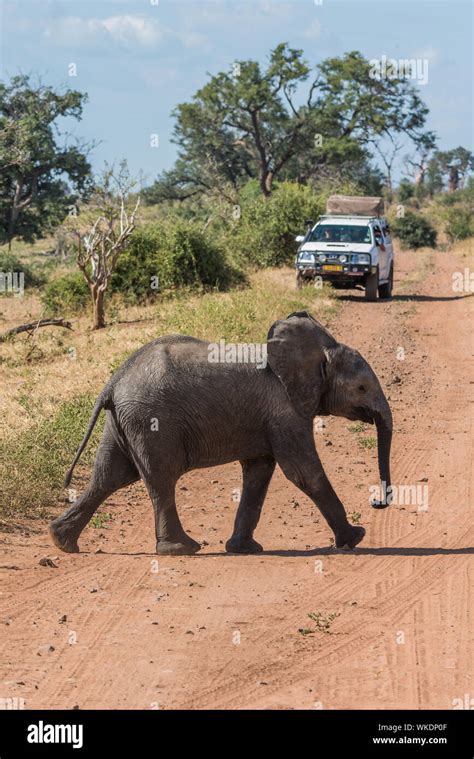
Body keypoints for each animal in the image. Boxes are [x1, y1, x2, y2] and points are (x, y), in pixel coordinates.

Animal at [50, 312, 394, 556]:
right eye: (361, 388)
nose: (378, 502)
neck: (317, 351)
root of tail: (113, 381)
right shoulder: (285, 410)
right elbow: (303, 472)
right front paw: (355, 538)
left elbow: (259, 473)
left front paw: (244, 549)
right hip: (150, 422)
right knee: (160, 479)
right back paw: (182, 549)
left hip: (122, 422)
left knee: (109, 477)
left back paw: (63, 542)